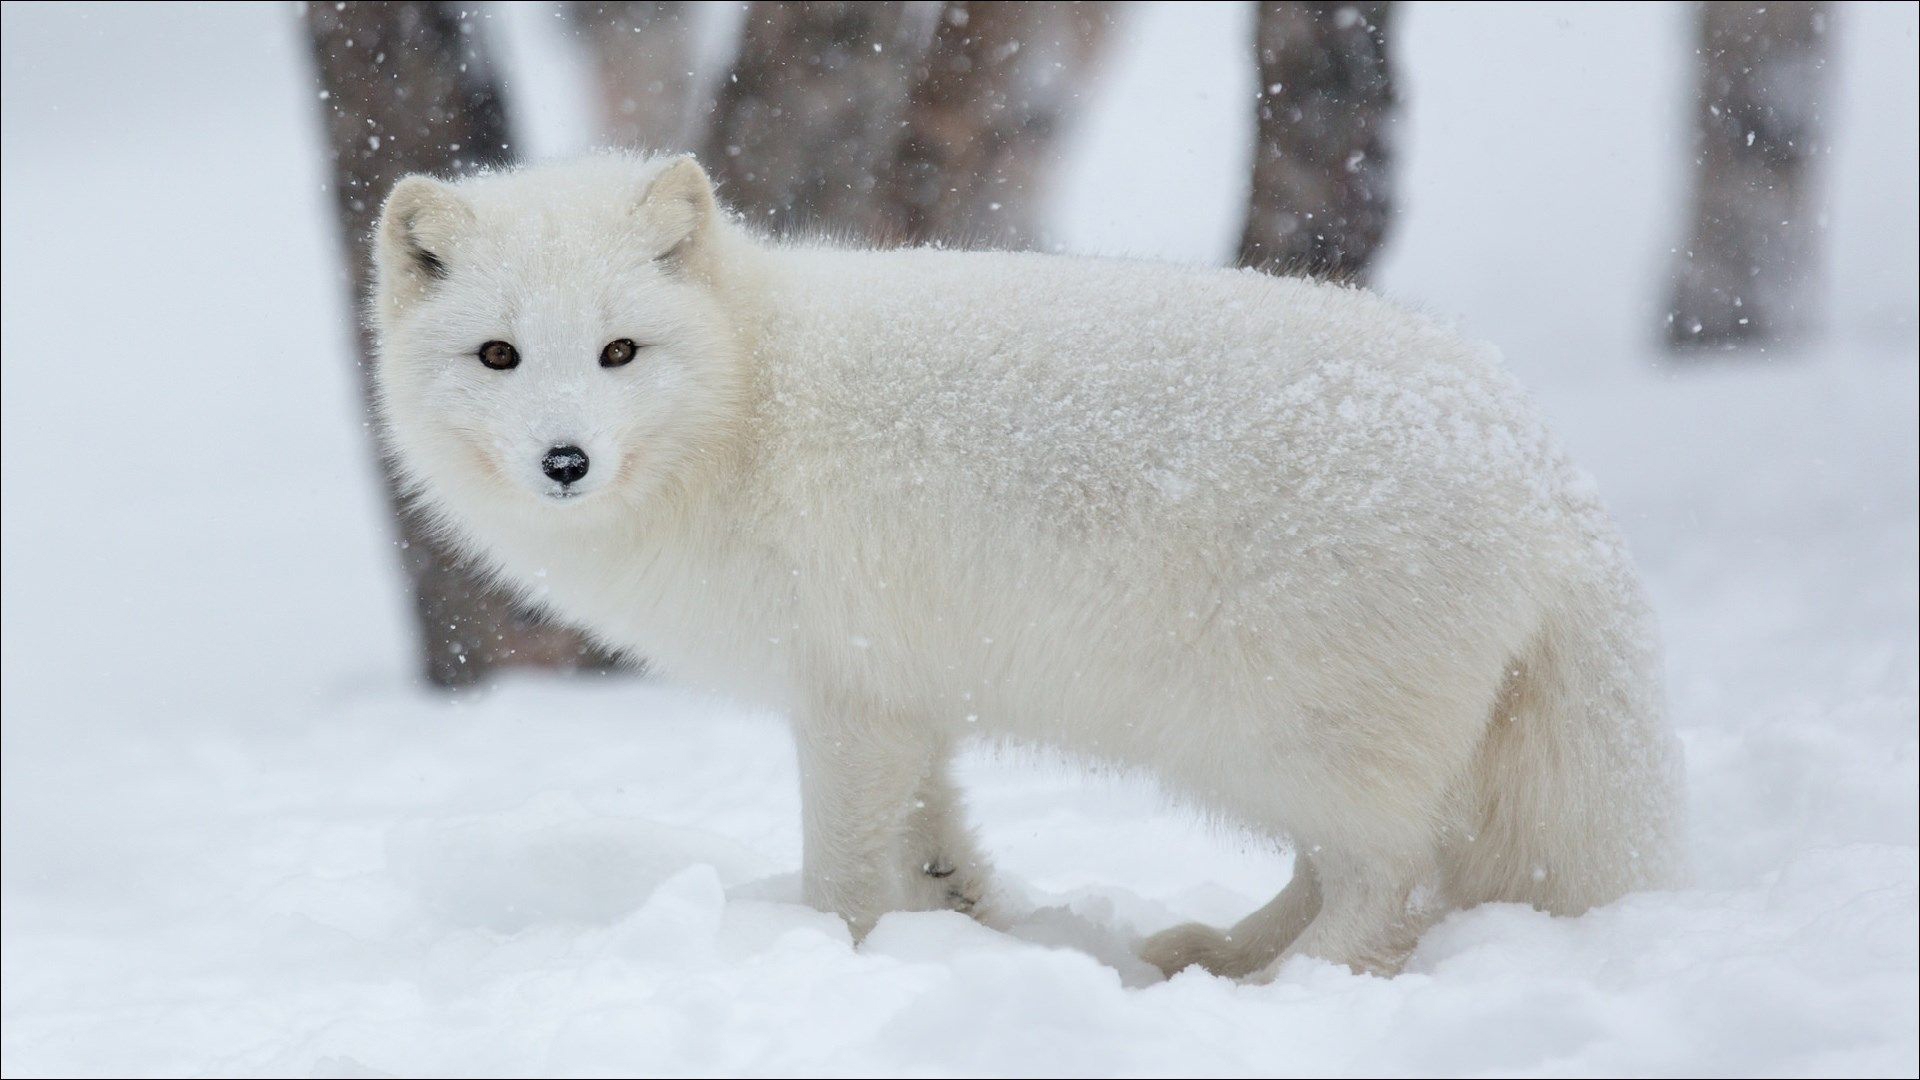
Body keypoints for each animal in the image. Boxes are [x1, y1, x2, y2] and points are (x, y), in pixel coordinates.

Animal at [370, 153, 1681, 976]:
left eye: (618, 351)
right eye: (498, 355)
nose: (565, 461)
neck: (752, 396)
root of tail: (1541, 467)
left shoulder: (846, 702)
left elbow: (845, 875)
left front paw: (836, 960)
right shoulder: (906, 701)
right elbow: (933, 845)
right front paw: (963, 930)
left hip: (1278, 737)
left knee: (1392, 885)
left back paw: (1279, 989)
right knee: (1348, 876)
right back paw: (1214, 955)